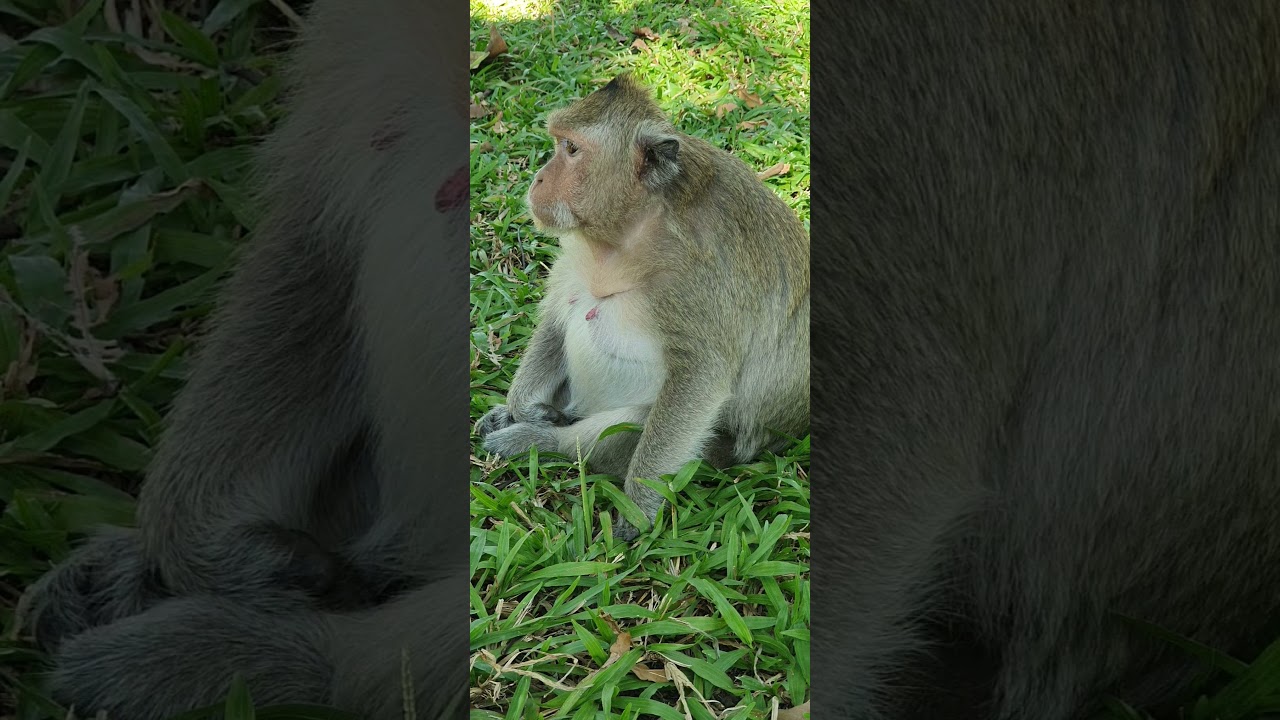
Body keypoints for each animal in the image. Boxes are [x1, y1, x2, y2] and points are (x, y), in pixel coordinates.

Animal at [475, 74, 810, 541]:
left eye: (572, 149)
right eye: (559, 142)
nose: (538, 179)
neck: (631, 229)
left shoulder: (697, 278)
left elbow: (699, 377)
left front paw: (637, 511)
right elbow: (557, 320)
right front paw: (521, 406)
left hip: (724, 445)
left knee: (630, 425)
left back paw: (540, 441)